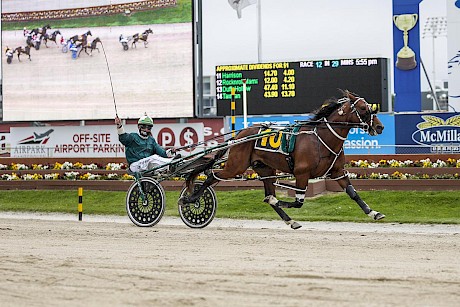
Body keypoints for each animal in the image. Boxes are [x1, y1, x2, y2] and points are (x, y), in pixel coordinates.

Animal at [178, 90, 386, 230]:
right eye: (363, 108)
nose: (380, 126)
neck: (321, 138)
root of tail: (239, 135)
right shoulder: (302, 173)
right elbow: (297, 202)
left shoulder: (337, 172)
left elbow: (353, 193)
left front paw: (374, 213)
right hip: (236, 166)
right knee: (211, 176)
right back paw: (191, 198)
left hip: (265, 170)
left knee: (266, 191)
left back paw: (290, 221)